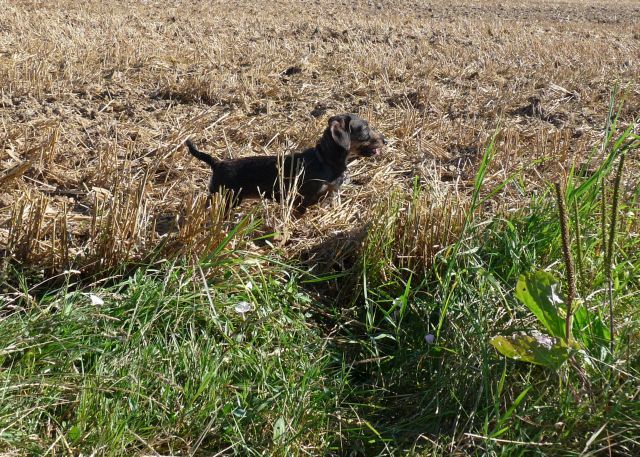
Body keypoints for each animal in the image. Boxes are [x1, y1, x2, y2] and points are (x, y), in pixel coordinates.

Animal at [185, 114, 384, 214]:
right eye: (364, 129)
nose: (386, 140)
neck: (325, 160)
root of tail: (217, 164)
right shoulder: (301, 201)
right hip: (223, 199)